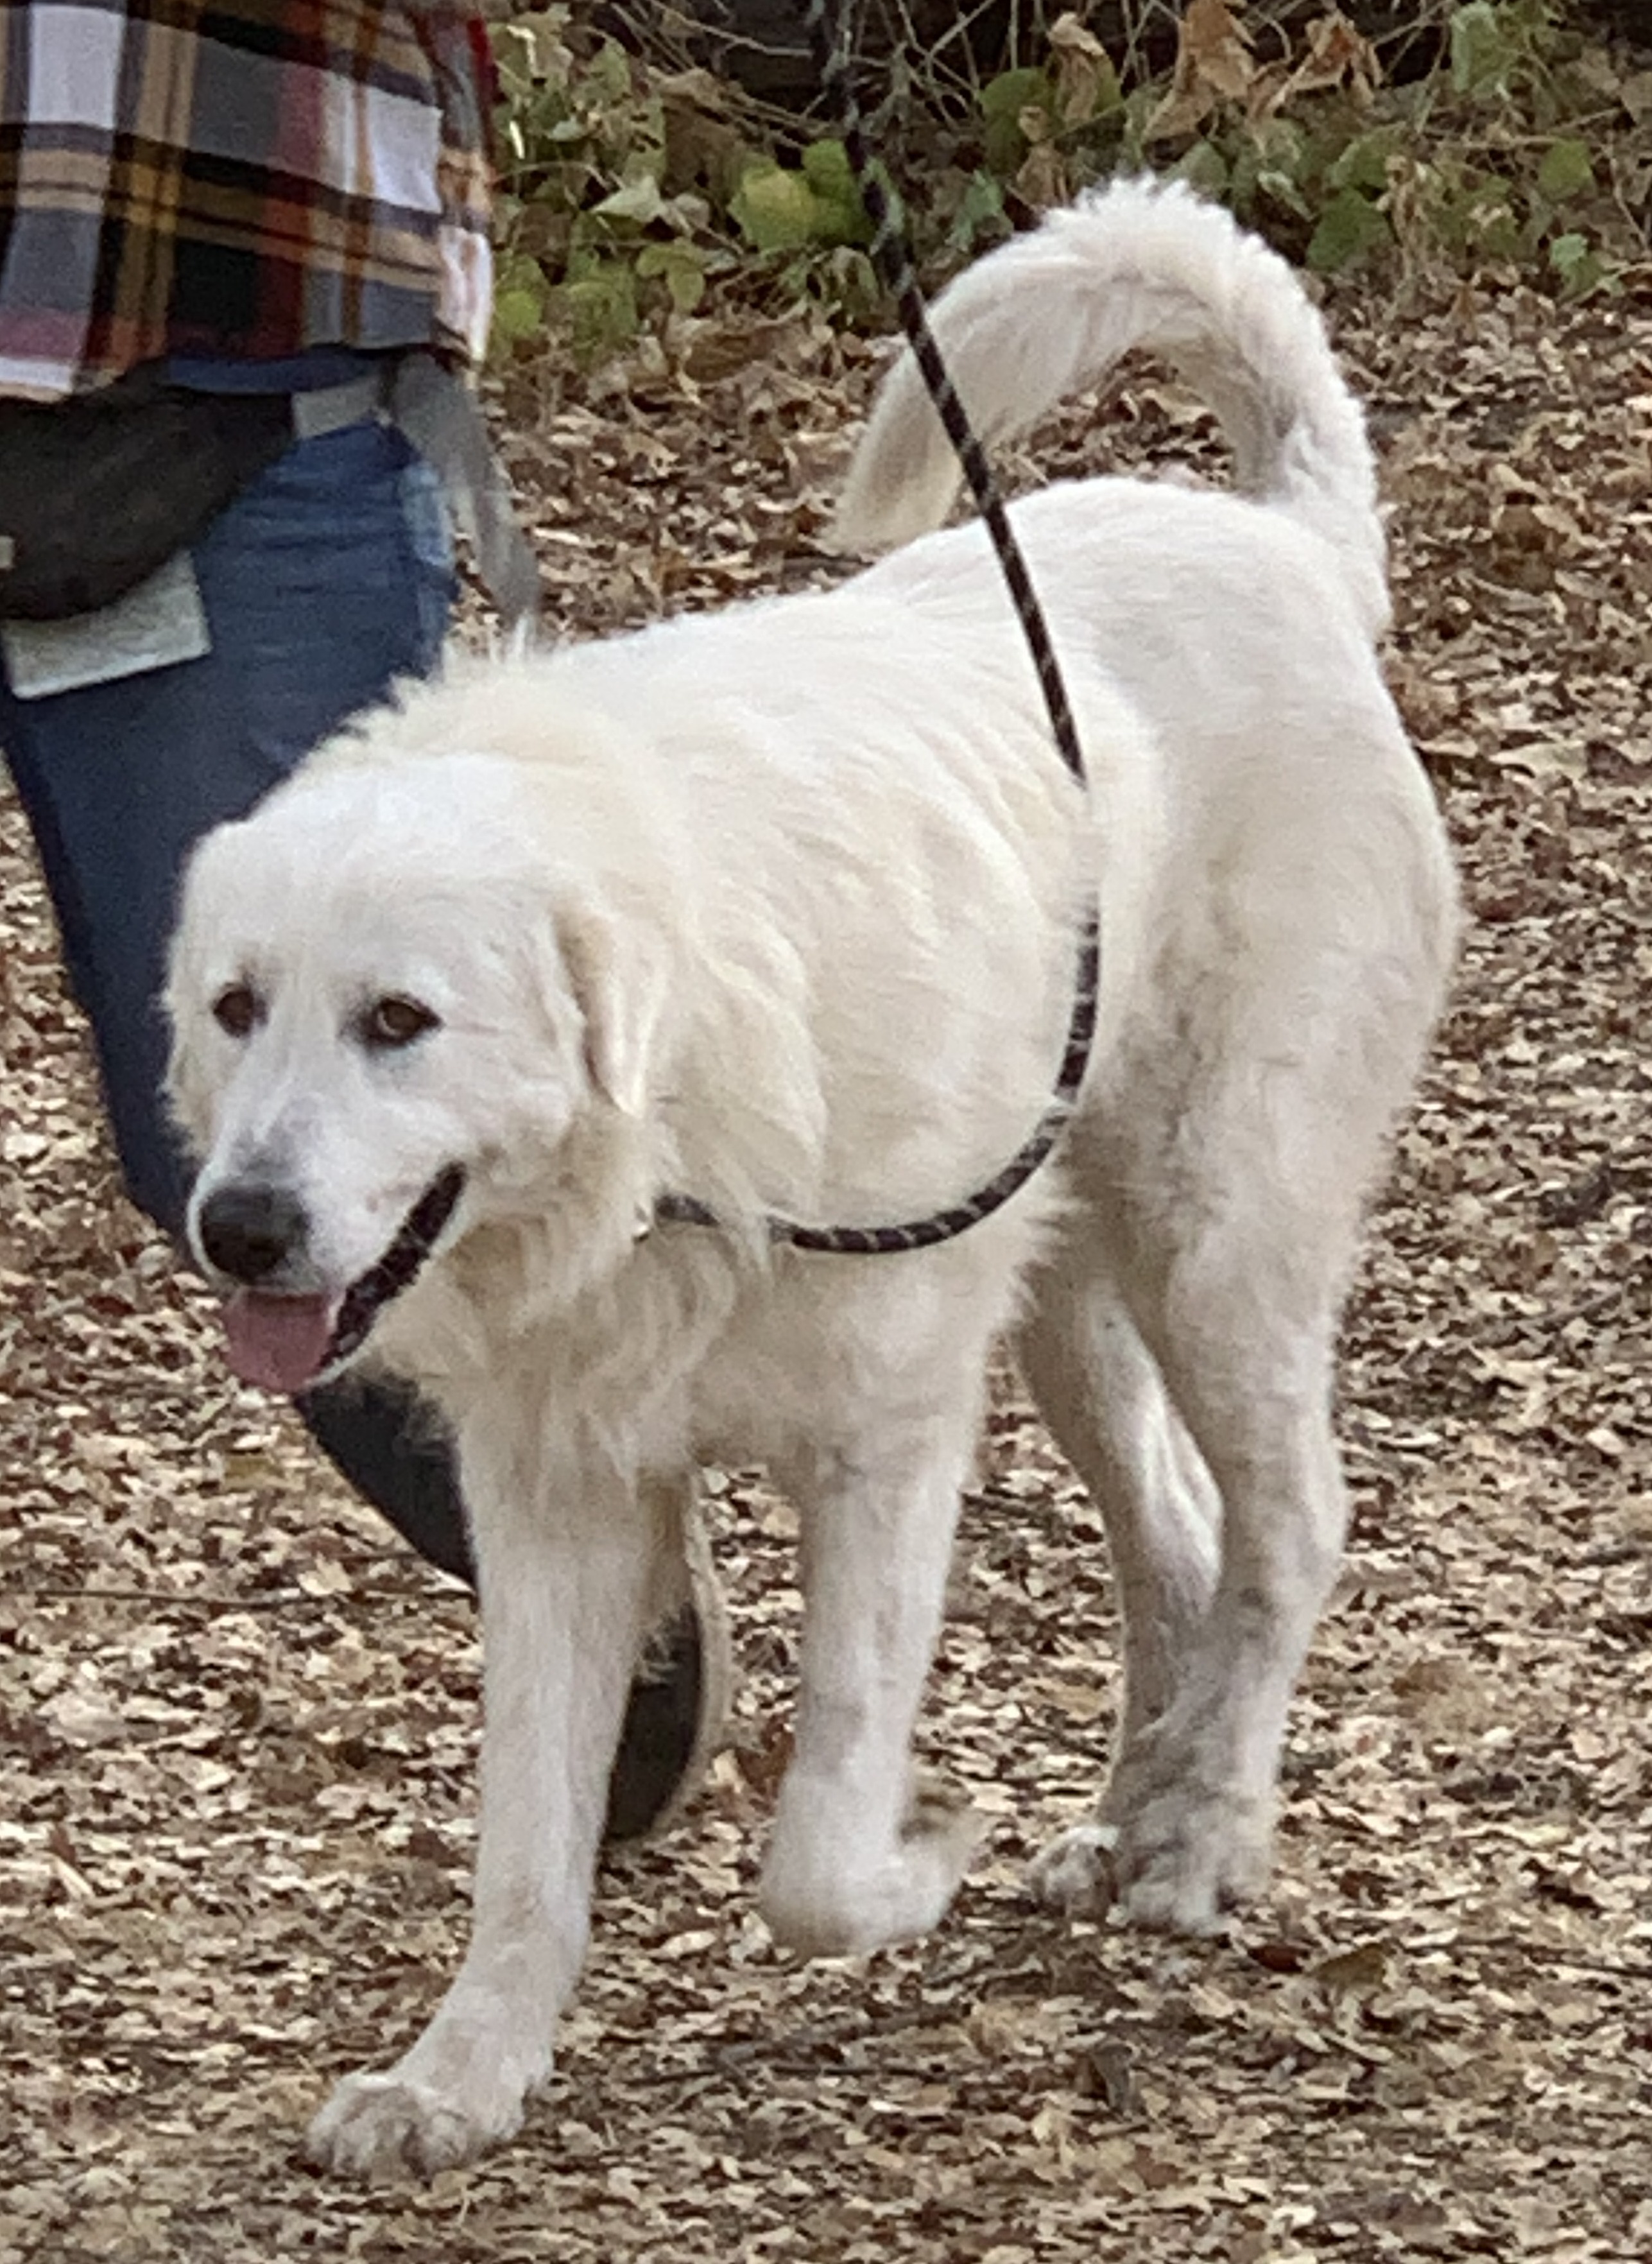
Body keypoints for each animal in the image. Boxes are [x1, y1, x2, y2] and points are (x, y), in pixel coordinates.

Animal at [164, 181, 1457, 2173]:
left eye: (398, 1018)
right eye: (236, 1005)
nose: (240, 1229)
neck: (668, 1152)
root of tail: (1291, 551)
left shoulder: (884, 1440)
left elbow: (817, 1846)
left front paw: (921, 1855)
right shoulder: (555, 1490)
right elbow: (523, 1841)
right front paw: (459, 2075)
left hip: (1212, 1240)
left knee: (1289, 1523)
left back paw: (1200, 1834)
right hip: (1065, 1300)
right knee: (1175, 1534)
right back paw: (1129, 1808)